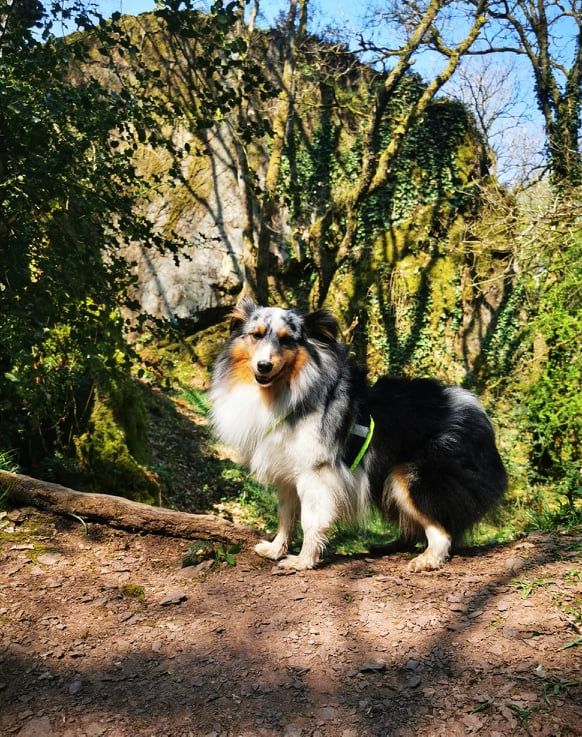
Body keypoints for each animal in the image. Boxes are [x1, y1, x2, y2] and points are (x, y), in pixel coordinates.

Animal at [210, 296, 506, 572]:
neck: (288, 391)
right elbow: (286, 515)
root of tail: (477, 414)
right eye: (256, 335)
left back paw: (427, 559)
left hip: (410, 477)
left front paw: (303, 561)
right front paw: (275, 550)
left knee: (442, 530)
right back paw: (389, 546)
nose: (263, 366)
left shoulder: (315, 472)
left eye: (286, 340)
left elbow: (310, 519)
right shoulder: (287, 473)